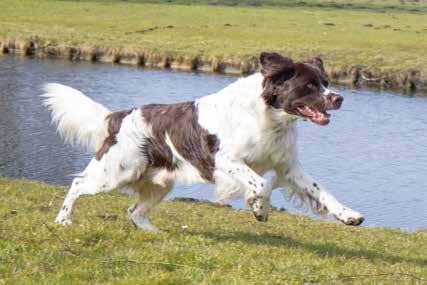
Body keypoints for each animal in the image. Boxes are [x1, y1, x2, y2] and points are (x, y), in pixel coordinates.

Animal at [42, 51, 364, 231]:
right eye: (309, 85)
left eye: (325, 82)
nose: (339, 98)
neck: (269, 118)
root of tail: (118, 117)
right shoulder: (223, 160)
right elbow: (261, 184)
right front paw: (258, 208)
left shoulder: (288, 167)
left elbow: (321, 192)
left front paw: (350, 216)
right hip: (117, 172)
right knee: (78, 183)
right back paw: (63, 220)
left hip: (159, 183)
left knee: (134, 212)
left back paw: (155, 233)